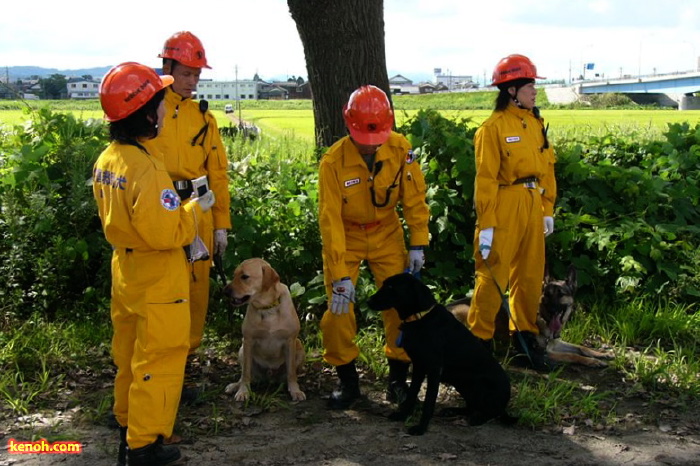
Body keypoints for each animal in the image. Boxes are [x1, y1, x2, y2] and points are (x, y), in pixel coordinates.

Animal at [221, 258, 304, 400]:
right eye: (234, 275)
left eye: (245, 277)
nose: (225, 292)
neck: (267, 308)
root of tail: (269, 377)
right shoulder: (248, 340)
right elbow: (246, 374)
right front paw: (243, 391)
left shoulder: (290, 340)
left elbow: (291, 373)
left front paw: (295, 390)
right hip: (242, 349)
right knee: (245, 375)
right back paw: (235, 386)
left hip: (299, 346)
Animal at [366, 272, 516, 436]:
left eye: (391, 287)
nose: (368, 301)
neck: (420, 318)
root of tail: (505, 401)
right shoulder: (419, 366)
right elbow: (411, 394)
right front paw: (402, 415)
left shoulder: (434, 369)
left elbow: (429, 401)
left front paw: (421, 428)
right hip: (462, 383)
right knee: (472, 406)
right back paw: (452, 411)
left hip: (480, 386)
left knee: (493, 412)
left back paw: (478, 418)